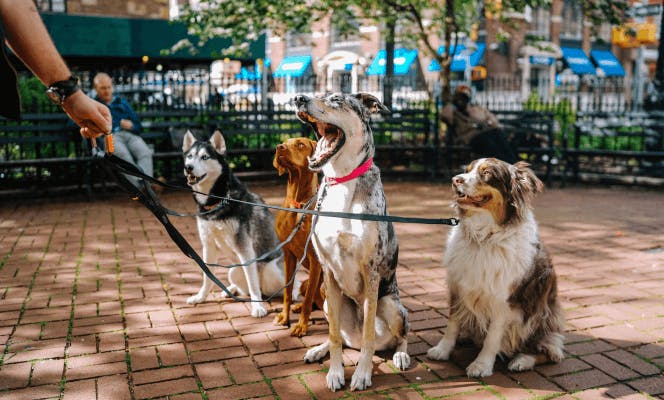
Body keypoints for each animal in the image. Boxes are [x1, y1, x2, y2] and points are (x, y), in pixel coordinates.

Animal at [272, 138, 324, 338]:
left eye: (300, 144)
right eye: (283, 142)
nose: (279, 147)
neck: (298, 205)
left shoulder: (315, 259)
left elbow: (309, 298)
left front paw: (302, 326)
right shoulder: (288, 254)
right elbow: (287, 291)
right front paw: (284, 317)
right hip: (305, 282)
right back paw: (298, 306)